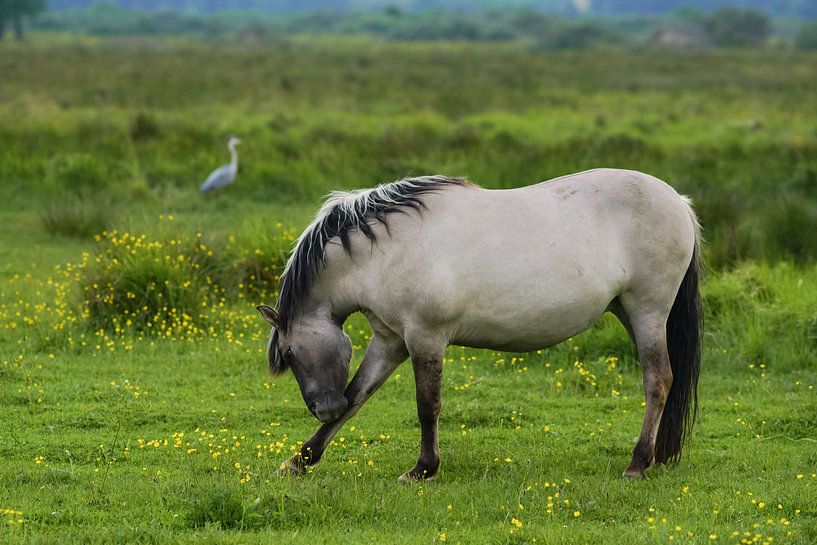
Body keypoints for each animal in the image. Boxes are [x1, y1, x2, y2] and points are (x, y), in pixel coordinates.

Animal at [257, 168, 702, 481]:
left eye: (290, 352)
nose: (323, 408)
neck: (384, 253)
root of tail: (678, 201)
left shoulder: (425, 339)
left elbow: (427, 405)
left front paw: (423, 469)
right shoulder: (390, 341)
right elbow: (357, 396)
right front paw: (299, 460)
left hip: (647, 312)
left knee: (658, 381)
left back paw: (637, 463)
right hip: (628, 311)